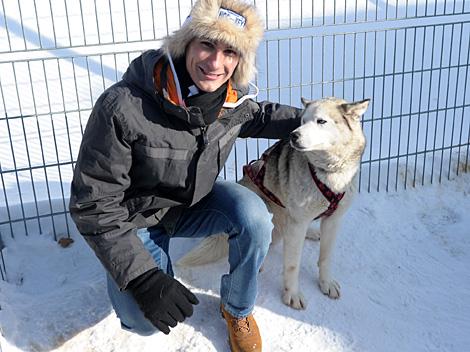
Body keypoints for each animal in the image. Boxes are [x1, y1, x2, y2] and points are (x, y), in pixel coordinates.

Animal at [178, 96, 370, 308]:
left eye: (321, 121)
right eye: (303, 120)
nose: (293, 135)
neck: (327, 173)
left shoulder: (333, 220)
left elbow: (326, 258)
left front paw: (326, 283)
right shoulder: (298, 223)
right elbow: (292, 265)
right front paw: (292, 294)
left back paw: (311, 233)